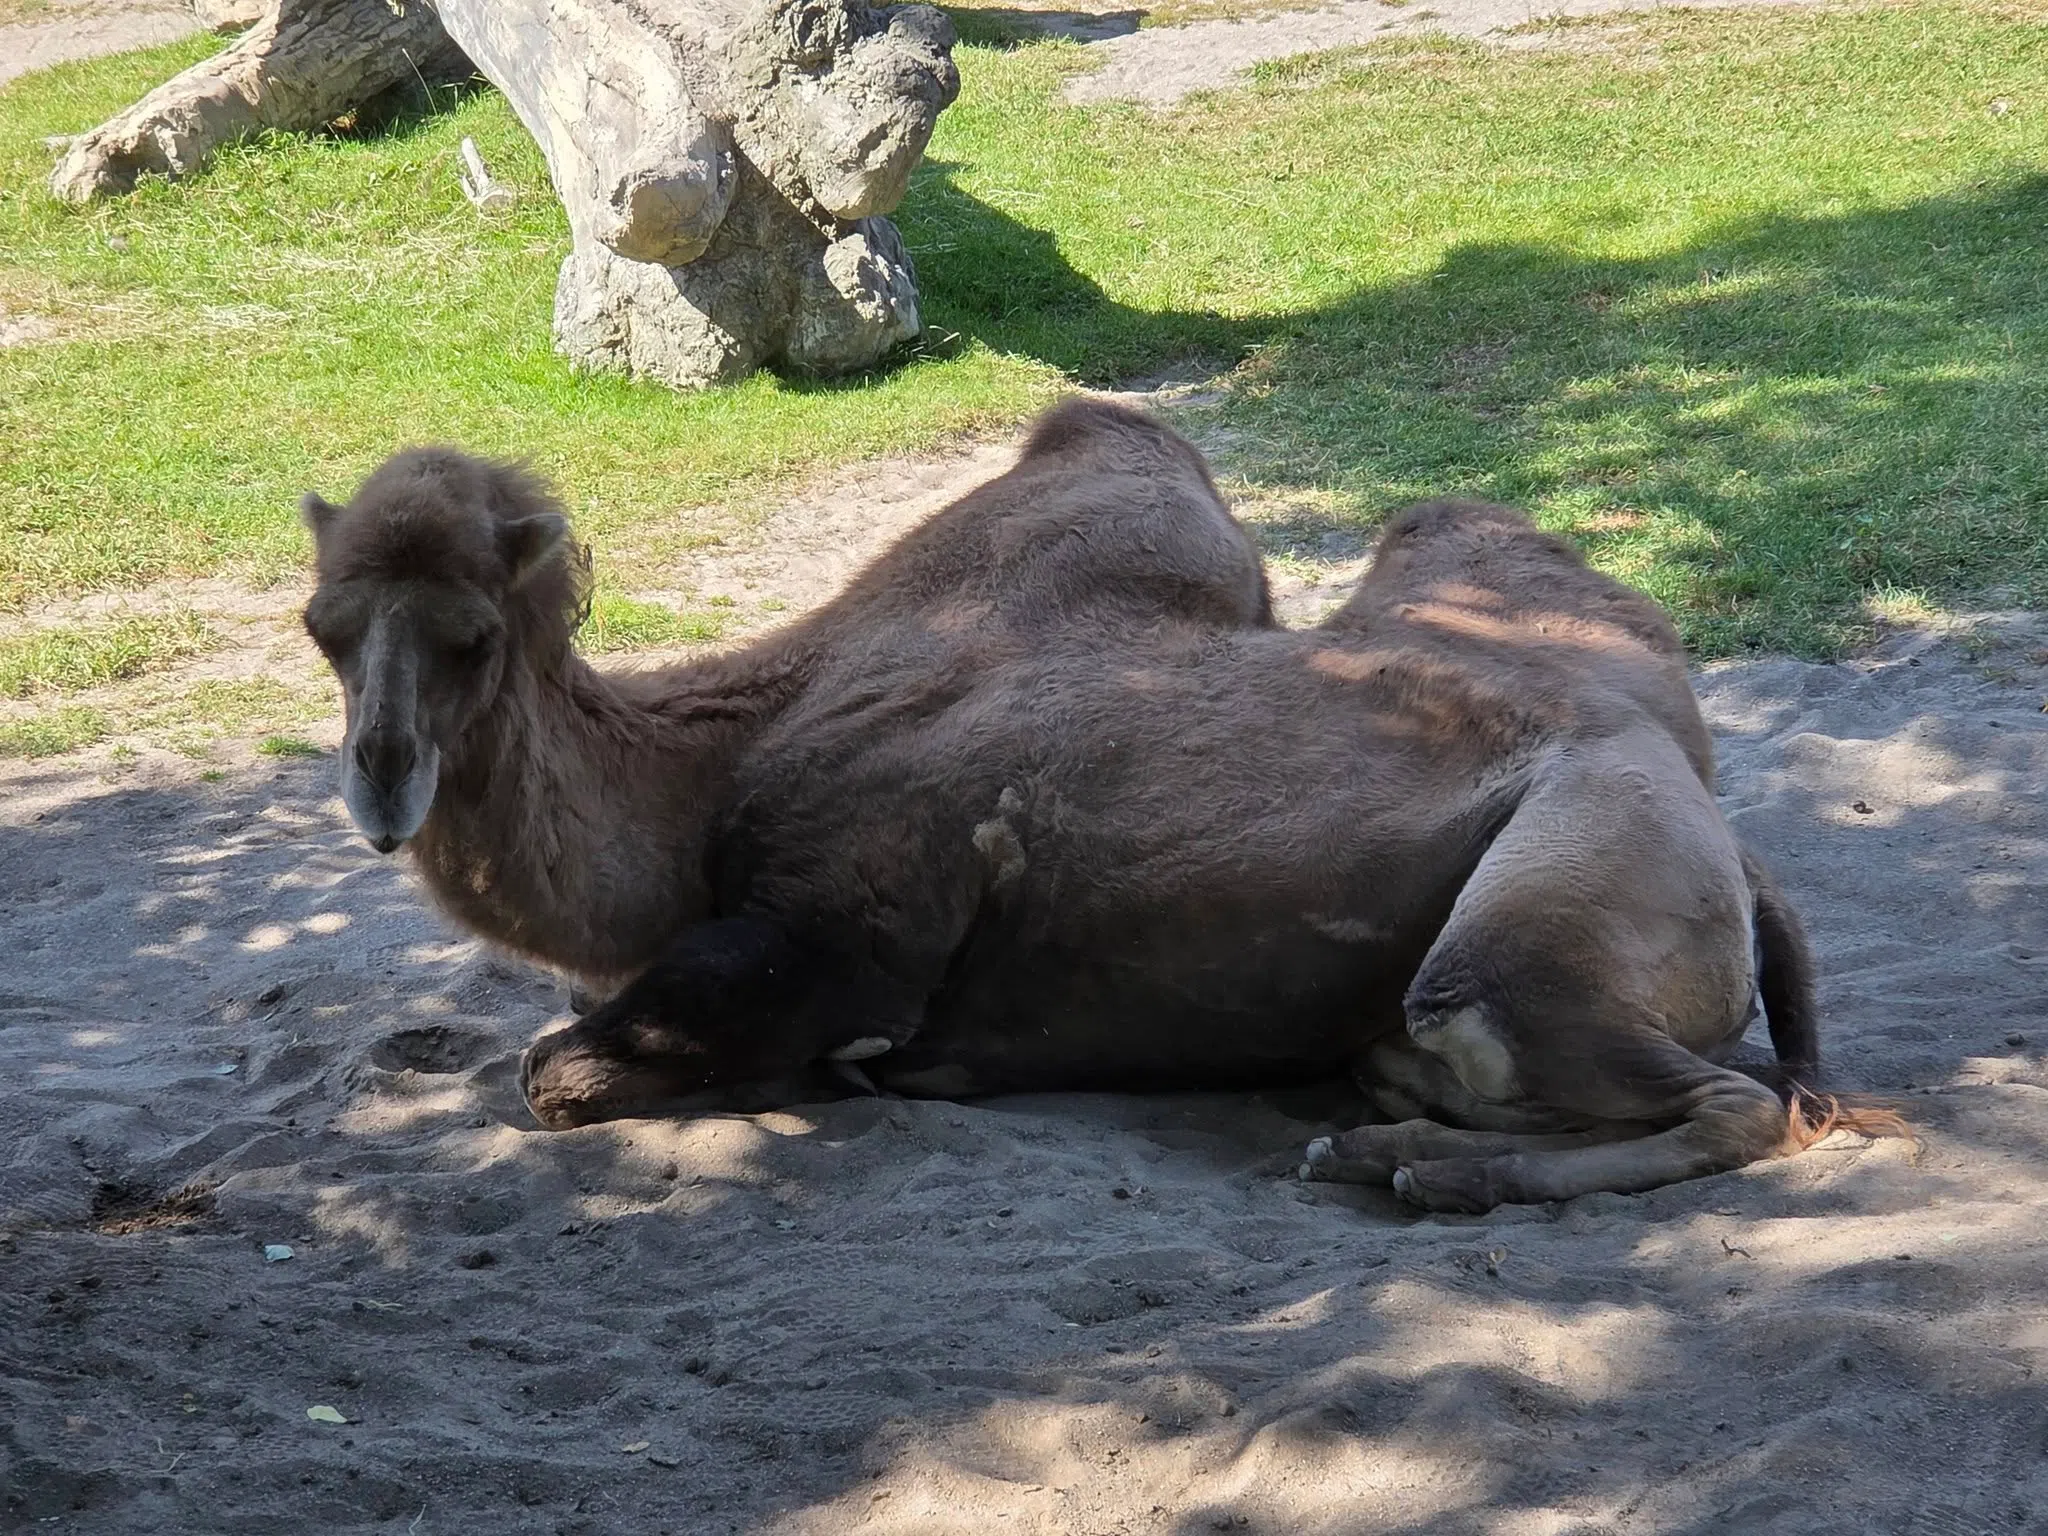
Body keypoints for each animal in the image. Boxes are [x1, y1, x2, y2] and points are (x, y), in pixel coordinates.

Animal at [300, 397, 1872, 1211]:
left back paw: (1415, 1169)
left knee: (1731, 1101)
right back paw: (1388, 1144)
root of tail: (1734, 850)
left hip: (1541, 916)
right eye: (323, 627)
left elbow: (557, 1071)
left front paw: (834, 1074)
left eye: (471, 636)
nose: (381, 780)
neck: (716, 765)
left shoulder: (840, 927)